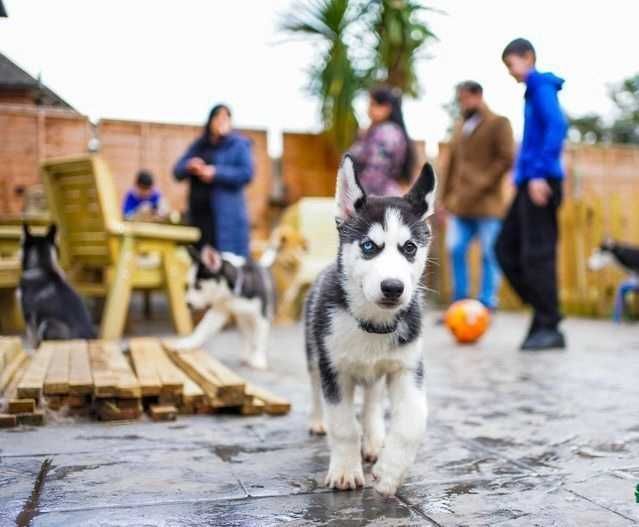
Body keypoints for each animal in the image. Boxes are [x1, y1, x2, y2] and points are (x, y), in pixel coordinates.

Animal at [304, 155, 436, 498]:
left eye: (410, 248)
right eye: (368, 246)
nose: (393, 287)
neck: (372, 326)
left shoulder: (407, 367)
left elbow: (413, 422)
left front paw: (389, 472)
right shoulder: (334, 371)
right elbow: (343, 426)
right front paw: (345, 471)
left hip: (378, 373)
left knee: (373, 402)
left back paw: (375, 440)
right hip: (313, 354)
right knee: (315, 390)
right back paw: (317, 421)